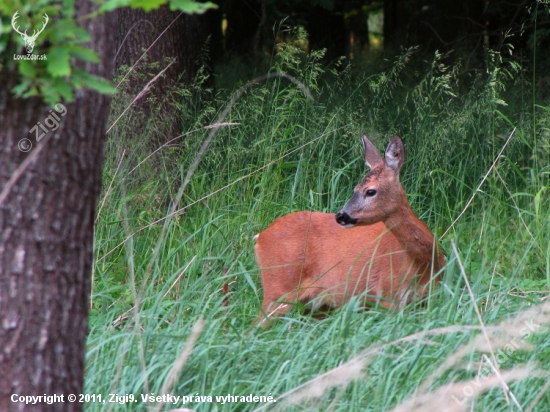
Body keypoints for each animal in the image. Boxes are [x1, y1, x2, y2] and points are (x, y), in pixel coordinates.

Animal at [256, 134, 446, 326]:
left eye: (370, 191)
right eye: (355, 189)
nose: (341, 216)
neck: (424, 262)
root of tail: (259, 237)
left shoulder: (429, 297)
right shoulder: (388, 295)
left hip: (315, 306)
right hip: (279, 289)